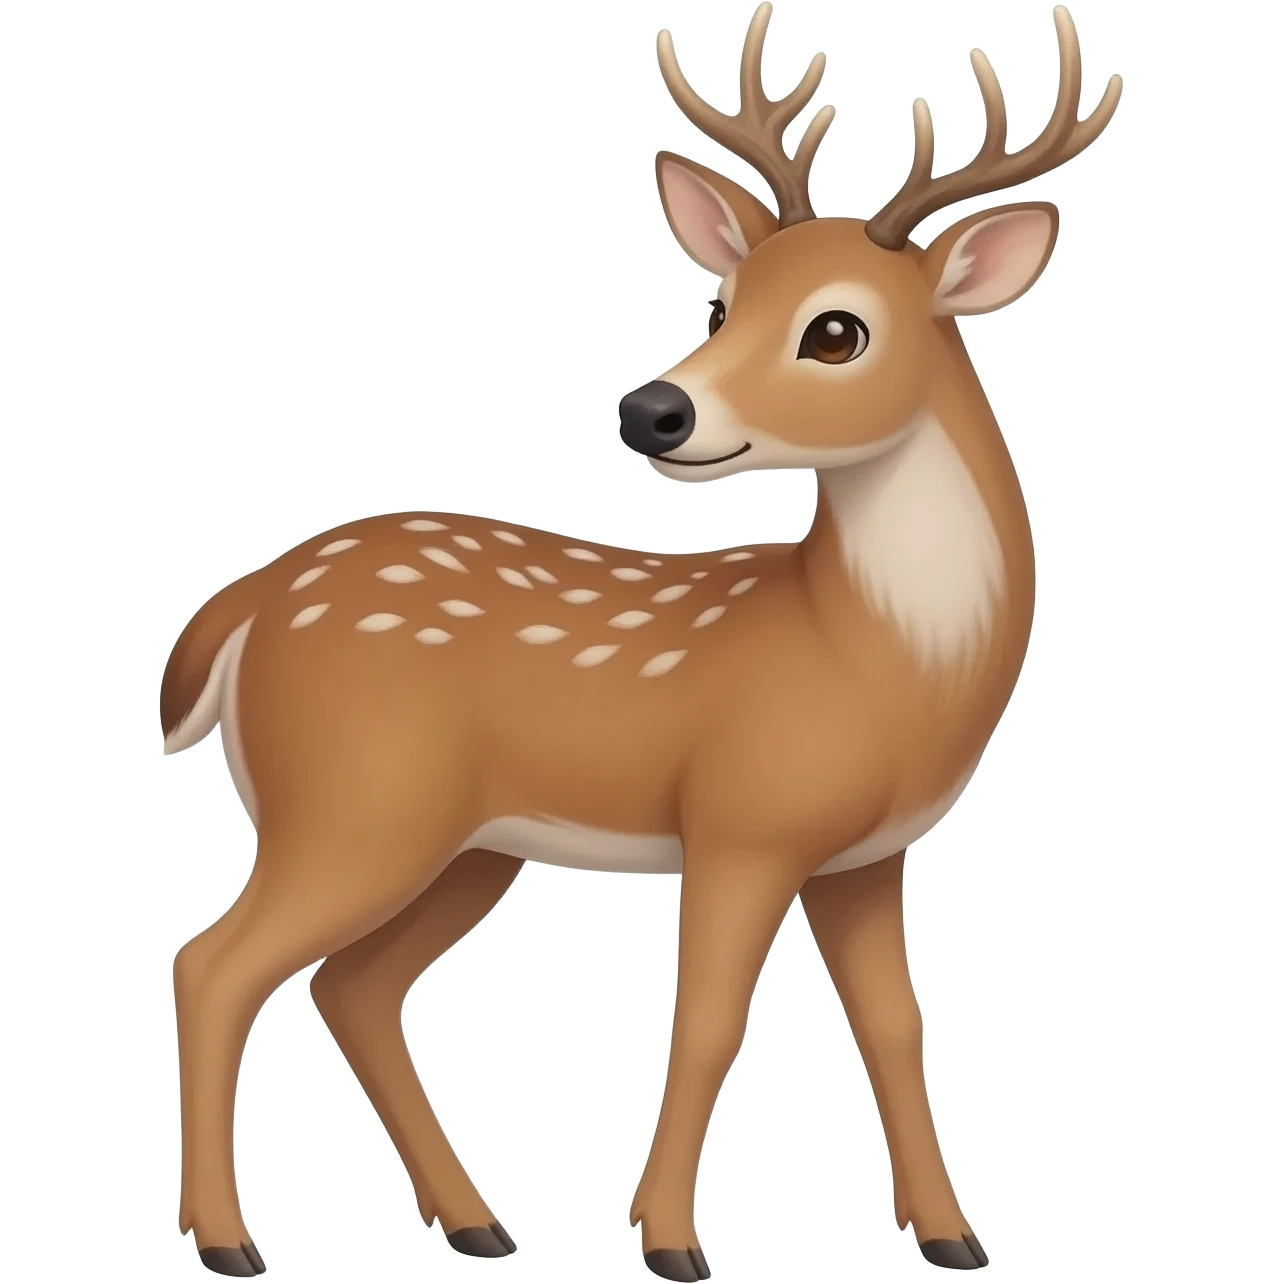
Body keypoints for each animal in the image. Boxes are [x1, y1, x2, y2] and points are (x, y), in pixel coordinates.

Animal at [161, 3, 1122, 1277]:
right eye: (722, 304)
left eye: (835, 331)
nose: (651, 411)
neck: (876, 656)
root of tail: (247, 602)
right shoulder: (741, 822)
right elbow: (709, 1021)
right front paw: (670, 1240)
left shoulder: (866, 858)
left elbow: (897, 1027)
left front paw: (951, 1237)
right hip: (350, 805)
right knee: (217, 965)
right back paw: (231, 1242)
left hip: (464, 842)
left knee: (351, 988)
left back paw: (477, 1223)